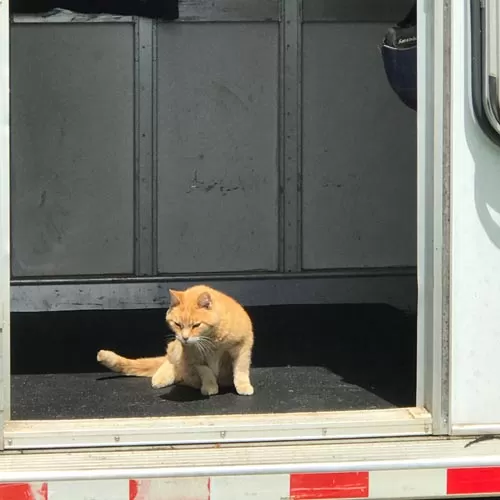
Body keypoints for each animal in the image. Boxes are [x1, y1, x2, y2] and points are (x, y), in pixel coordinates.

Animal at [97, 285, 255, 396]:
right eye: (178, 324)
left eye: (196, 325)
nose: (185, 337)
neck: (212, 340)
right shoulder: (194, 357)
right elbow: (206, 372)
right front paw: (209, 386)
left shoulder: (242, 347)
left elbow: (240, 370)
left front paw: (243, 386)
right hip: (176, 348)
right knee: (170, 361)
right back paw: (161, 377)